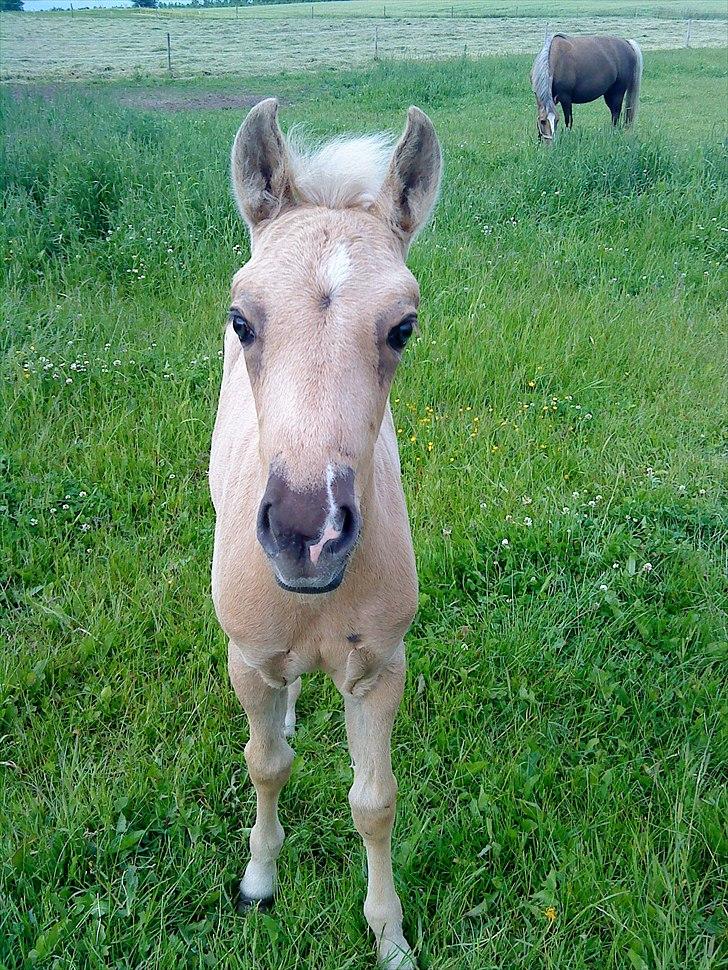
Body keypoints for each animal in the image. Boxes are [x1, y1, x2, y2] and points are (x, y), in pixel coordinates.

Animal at [208, 100, 440, 968]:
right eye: (242, 319)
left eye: (403, 328)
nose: (308, 532)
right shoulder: (246, 659)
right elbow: (266, 765)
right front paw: (258, 882)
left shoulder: (378, 669)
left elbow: (374, 802)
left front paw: (390, 936)